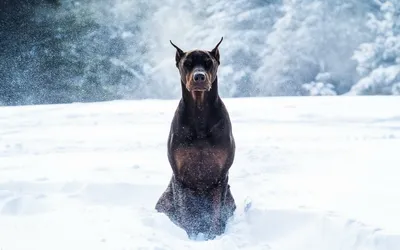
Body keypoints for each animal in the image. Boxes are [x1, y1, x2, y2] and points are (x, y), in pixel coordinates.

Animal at [155, 37, 236, 240]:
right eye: (187, 63)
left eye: (208, 63)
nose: (199, 77)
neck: (200, 113)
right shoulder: (180, 176)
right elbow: (185, 212)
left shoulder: (220, 176)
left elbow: (216, 213)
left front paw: (213, 236)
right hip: (165, 199)